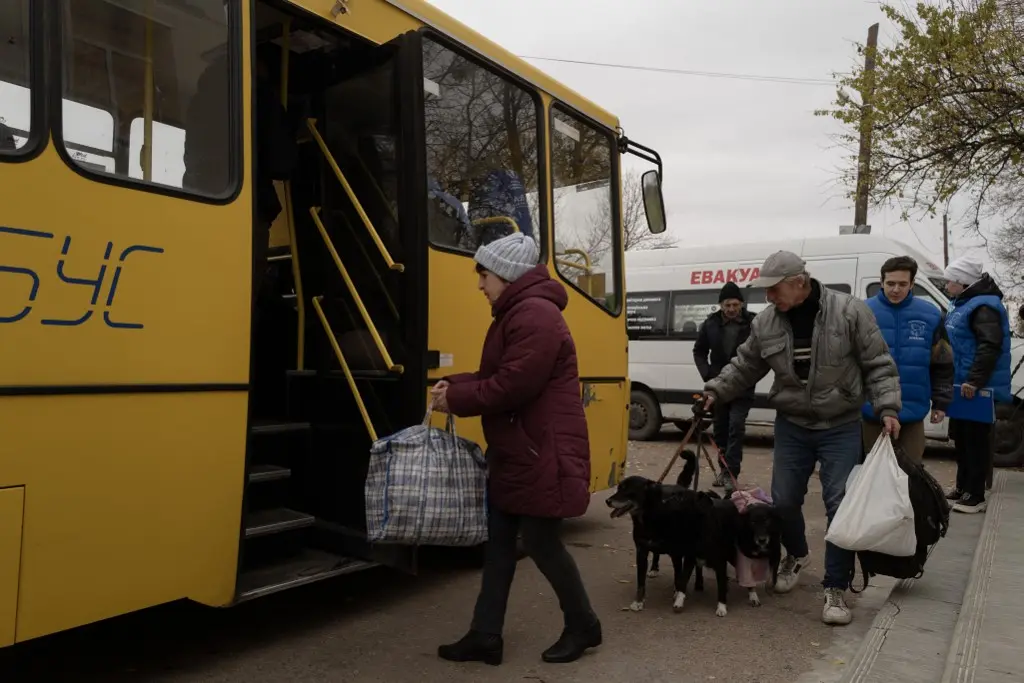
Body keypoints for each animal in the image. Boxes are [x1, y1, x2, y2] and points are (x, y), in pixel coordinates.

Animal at [598, 448, 712, 614]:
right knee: (657, 554)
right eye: (619, 488)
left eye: (627, 491)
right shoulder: (641, 551)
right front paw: (638, 601)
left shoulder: (676, 553)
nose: (607, 501)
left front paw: (677, 593)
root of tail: (680, 487)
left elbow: (678, 576)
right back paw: (654, 568)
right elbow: (640, 582)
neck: (649, 515)